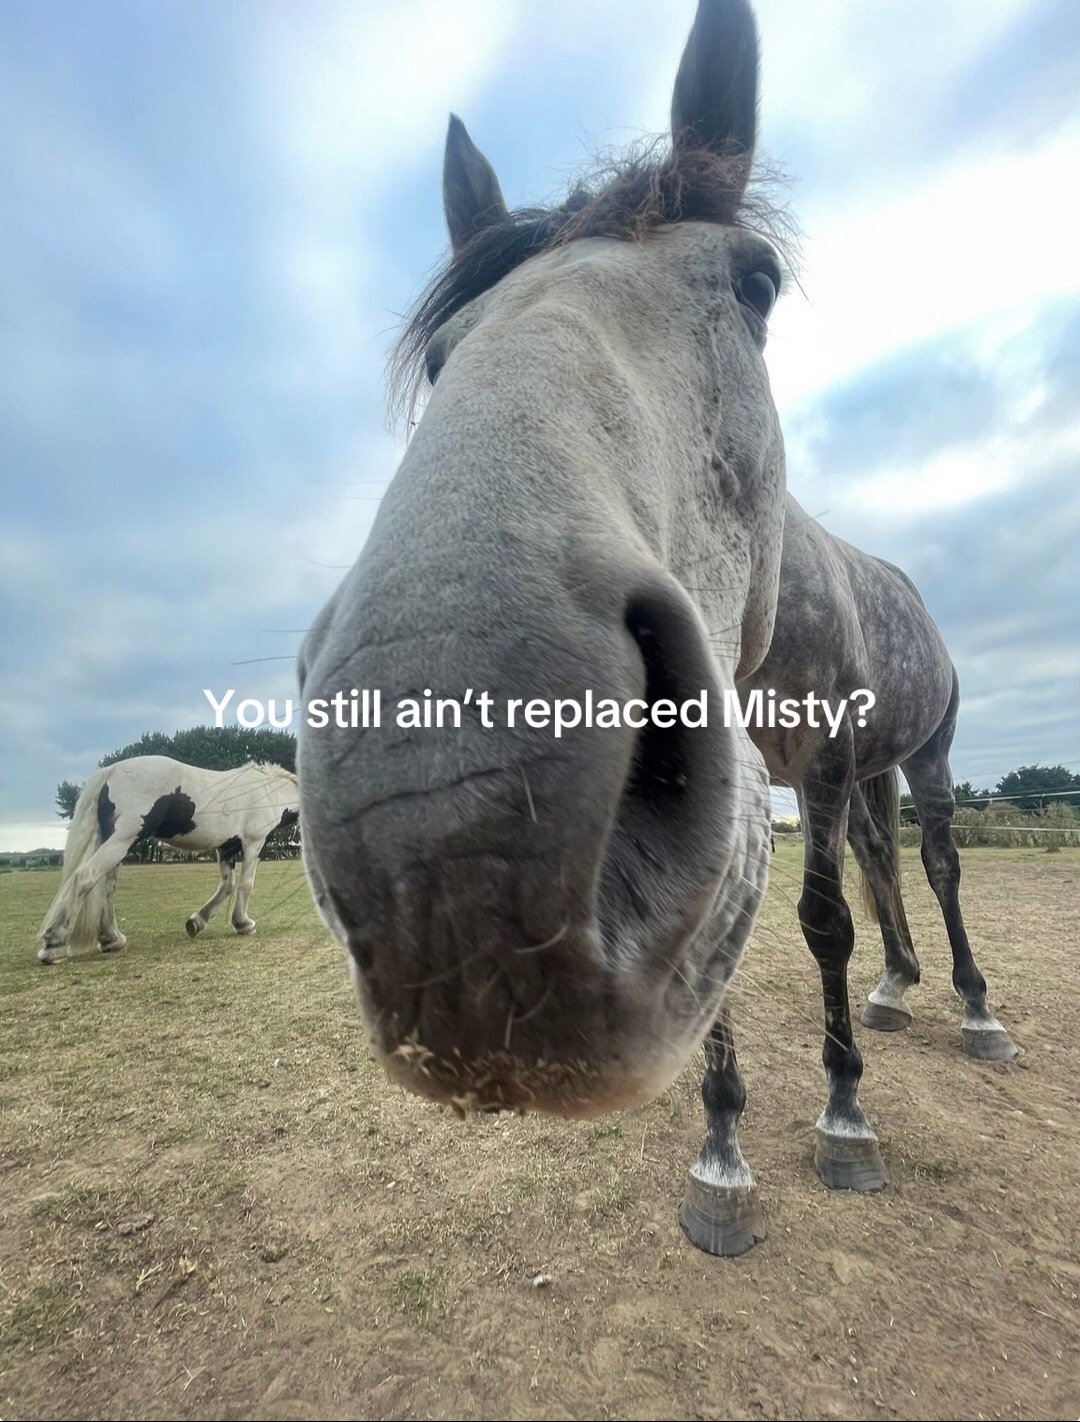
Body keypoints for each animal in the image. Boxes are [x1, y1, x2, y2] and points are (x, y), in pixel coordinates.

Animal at [37, 756, 299, 964]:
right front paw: (243, 923)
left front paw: (198, 922)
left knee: (107, 887)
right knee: (86, 877)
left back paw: (112, 938)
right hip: (124, 839)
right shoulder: (253, 843)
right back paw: (55, 944)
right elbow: (245, 885)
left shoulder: (227, 848)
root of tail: (111, 771)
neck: (269, 791)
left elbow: (228, 885)